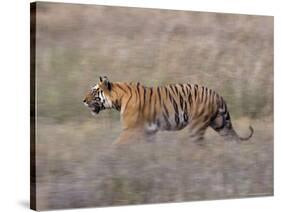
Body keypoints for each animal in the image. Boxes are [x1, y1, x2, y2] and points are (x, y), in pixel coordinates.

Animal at [82, 75, 253, 145]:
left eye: (93, 91)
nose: (83, 100)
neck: (118, 99)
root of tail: (217, 94)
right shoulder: (148, 132)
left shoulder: (130, 130)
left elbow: (116, 145)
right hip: (220, 124)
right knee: (233, 140)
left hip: (197, 126)